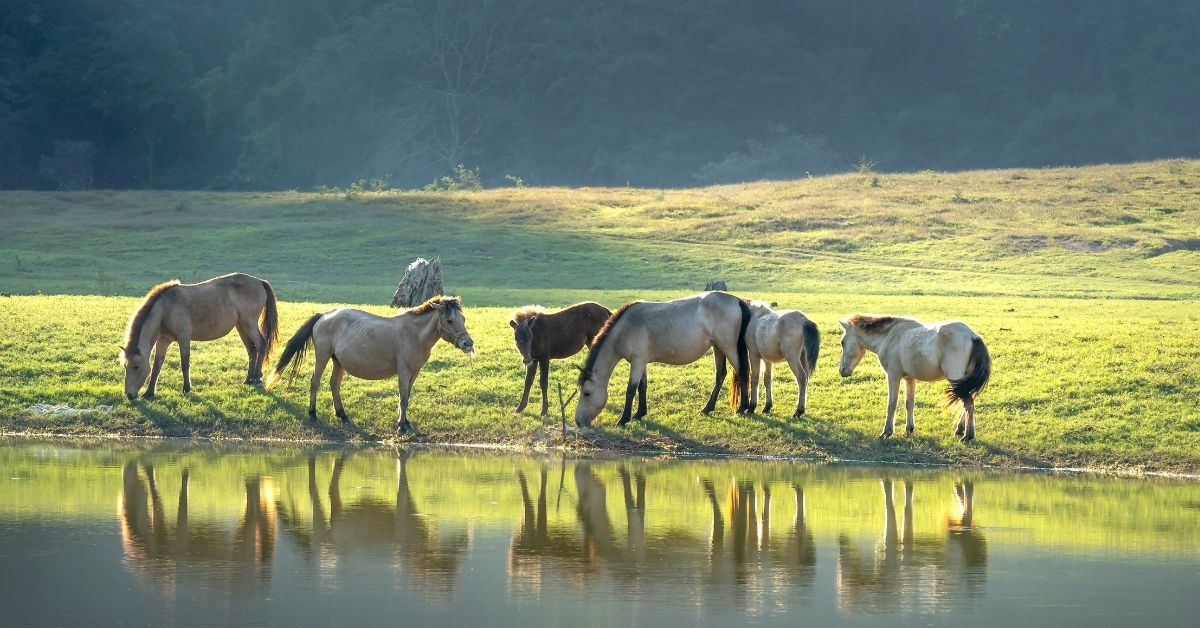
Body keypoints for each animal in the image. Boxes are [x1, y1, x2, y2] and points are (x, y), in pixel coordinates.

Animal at [120, 272, 278, 401]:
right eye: (125, 366)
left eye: (136, 366)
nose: (129, 395)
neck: (165, 309)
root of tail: (260, 281)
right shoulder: (163, 341)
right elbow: (156, 367)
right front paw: (149, 392)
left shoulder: (183, 338)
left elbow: (184, 364)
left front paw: (186, 388)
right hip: (241, 327)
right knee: (252, 350)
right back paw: (248, 380)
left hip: (249, 324)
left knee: (261, 344)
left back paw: (256, 377)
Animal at [267, 294, 472, 432]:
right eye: (450, 320)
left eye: (463, 319)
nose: (468, 343)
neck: (413, 334)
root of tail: (324, 315)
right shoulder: (404, 371)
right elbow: (403, 397)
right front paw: (401, 426)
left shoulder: (414, 372)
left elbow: (406, 396)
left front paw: (406, 422)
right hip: (322, 356)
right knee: (315, 382)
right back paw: (312, 414)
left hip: (338, 362)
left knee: (334, 384)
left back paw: (343, 415)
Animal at [571, 292, 748, 429]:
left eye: (587, 393)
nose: (579, 422)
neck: (624, 328)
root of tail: (736, 300)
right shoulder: (642, 362)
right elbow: (642, 386)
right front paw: (639, 413)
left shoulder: (637, 361)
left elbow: (630, 390)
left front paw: (623, 420)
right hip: (717, 348)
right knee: (720, 375)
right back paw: (707, 408)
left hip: (727, 347)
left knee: (742, 372)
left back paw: (743, 408)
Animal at [835, 314, 993, 441]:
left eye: (842, 342)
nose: (842, 371)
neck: (890, 337)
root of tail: (973, 336)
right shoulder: (909, 379)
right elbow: (909, 403)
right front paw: (909, 429)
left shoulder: (893, 377)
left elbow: (892, 404)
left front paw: (886, 432)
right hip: (964, 382)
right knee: (969, 401)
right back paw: (960, 430)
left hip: (956, 380)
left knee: (968, 404)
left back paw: (968, 435)